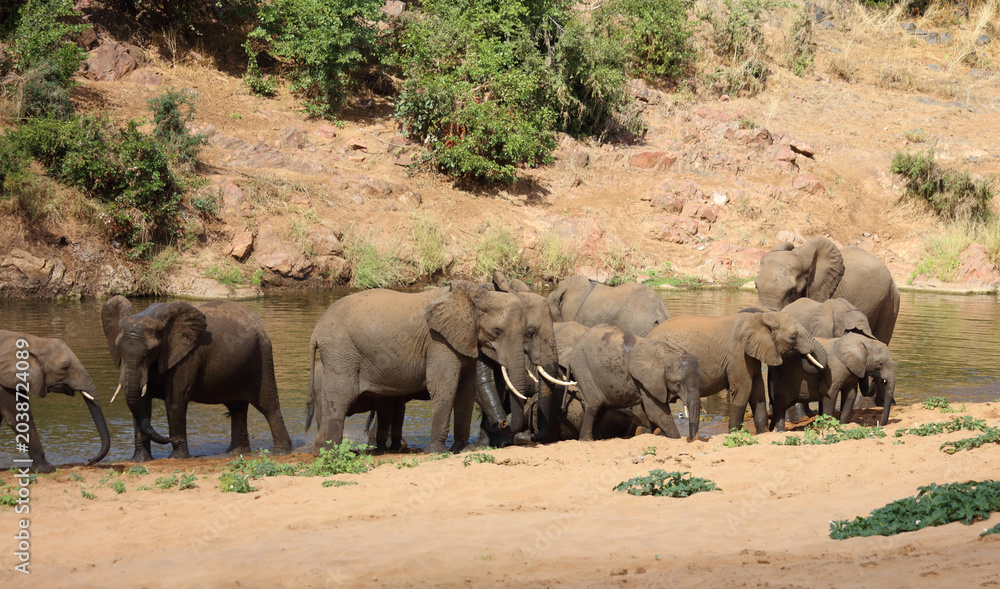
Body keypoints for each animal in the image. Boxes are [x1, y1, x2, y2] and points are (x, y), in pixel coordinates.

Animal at [101, 296, 292, 462]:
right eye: (119, 349)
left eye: (151, 351)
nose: (169, 439)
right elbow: (141, 404)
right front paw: (139, 461)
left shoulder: (186, 357)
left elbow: (175, 402)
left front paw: (177, 458)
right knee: (237, 408)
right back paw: (235, 453)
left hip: (261, 356)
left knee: (268, 406)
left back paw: (281, 452)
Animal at [309, 280, 527, 454]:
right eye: (496, 331)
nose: (504, 422)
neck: (473, 295)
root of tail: (316, 330)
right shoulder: (439, 341)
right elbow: (444, 388)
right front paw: (437, 452)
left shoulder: (465, 340)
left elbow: (466, 392)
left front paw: (464, 449)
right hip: (341, 350)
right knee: (341, 396)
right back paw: (332, 454)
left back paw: (322, 452)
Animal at [569, 324, 701, 441]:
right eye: (677, 383)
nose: (691, 439)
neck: (666, 353)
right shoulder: (646, 379)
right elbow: (657, 413)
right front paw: (676, 439)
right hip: (583, 370)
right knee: (594, 405)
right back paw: (586, 440)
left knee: (602, 408)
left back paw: (599, 439)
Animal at [647, 311, 829, 434]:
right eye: (793, 337)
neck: (760, 317)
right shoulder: (738, 354)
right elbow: (743, 389)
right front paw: (734, 433)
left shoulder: (751, 355)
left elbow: (757, 390)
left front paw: (763, 433)